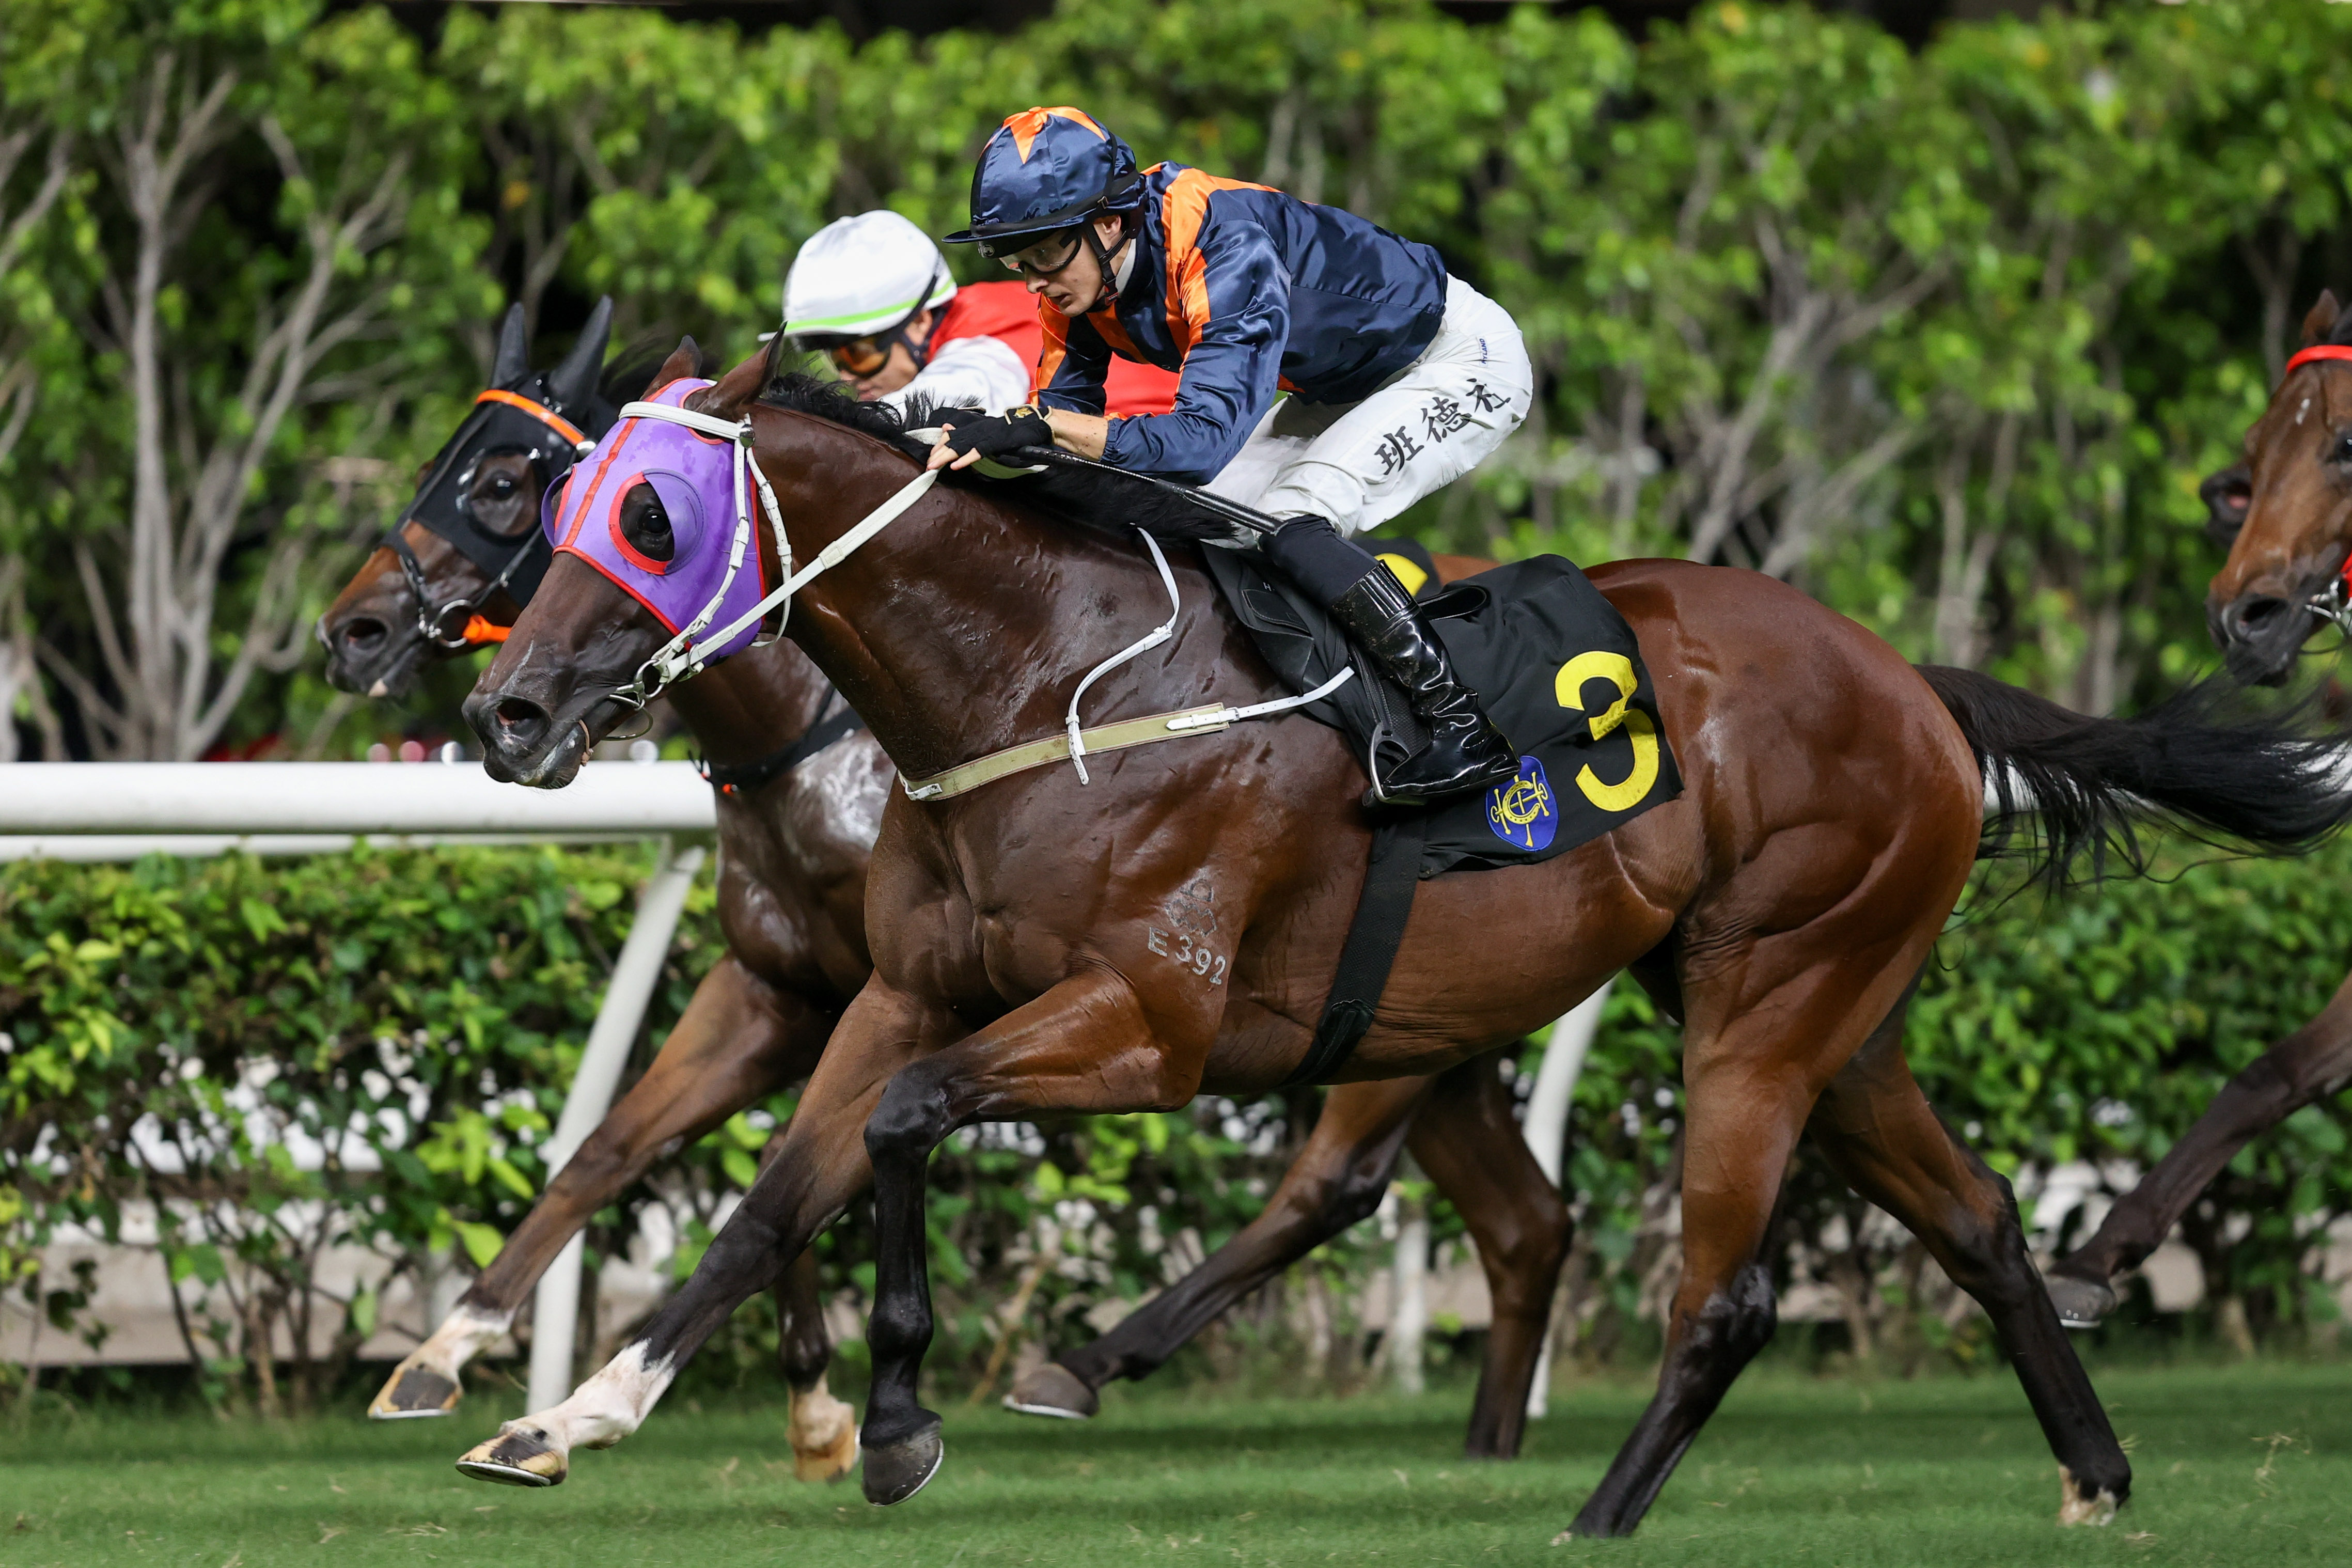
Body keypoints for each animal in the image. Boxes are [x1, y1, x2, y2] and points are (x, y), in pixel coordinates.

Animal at [321, 325, 1576, 1462]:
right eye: (554, 499)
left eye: (509, 485)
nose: (357, 630)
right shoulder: (782, 984)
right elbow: (632, 1150)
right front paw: (449, 1355)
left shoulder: (978, 995)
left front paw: (821, 1406)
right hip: (1427, 1010)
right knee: (1525, 1222)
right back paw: (1491, 1438)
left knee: (1335, 1180)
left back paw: (1082, 1368)